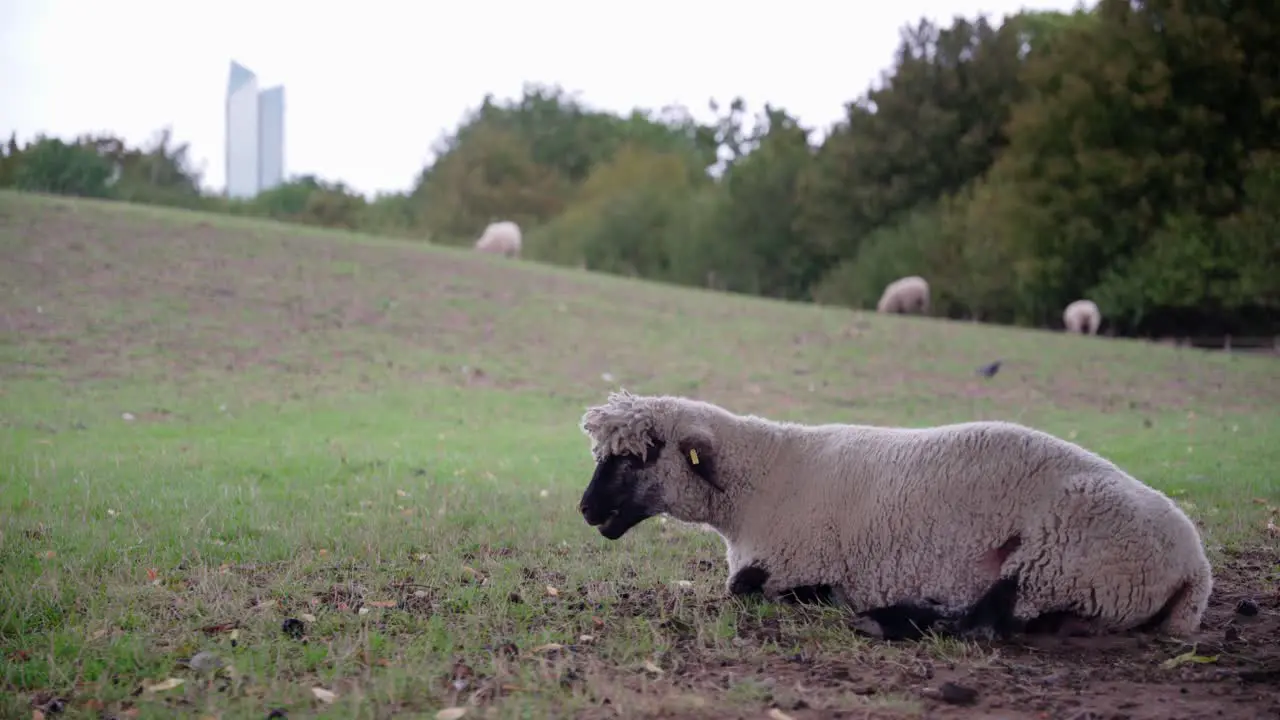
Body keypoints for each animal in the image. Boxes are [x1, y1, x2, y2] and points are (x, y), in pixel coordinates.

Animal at [578, 389, 1208, 640]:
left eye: (636, 456)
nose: (586, 509)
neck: (765, 476)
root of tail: (1195, 567)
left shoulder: (792, 561)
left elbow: (749, 588)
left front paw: (832, 599)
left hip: (1061, 555)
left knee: (987, 623)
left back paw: (886, 619)